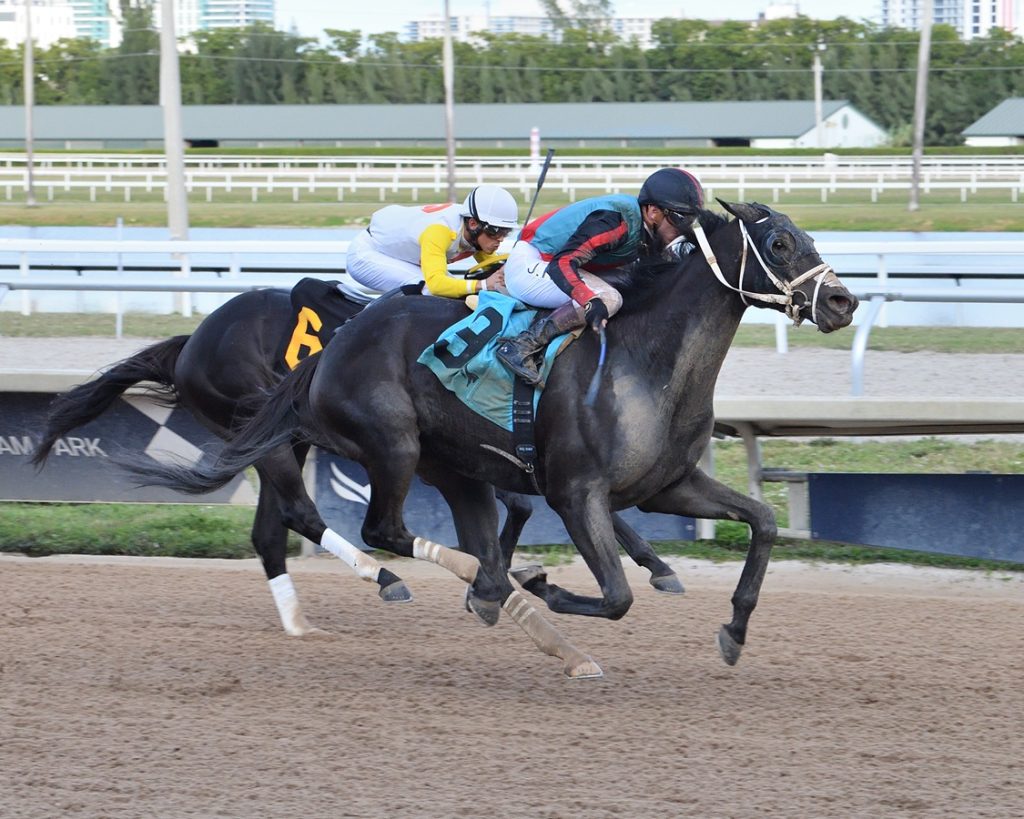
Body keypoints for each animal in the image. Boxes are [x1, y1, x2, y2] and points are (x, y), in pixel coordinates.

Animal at [117, 201, 856, 675]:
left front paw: (733, 628)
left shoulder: (670, 483)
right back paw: (429, 582)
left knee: (285, 530)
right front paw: (554, 586)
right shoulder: (576, 491)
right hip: (384, 443)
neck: (645, 360)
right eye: (780, 242)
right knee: (373, 525)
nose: (842, 302)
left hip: (446, 464)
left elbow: (762, 520)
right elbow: (616, 594)